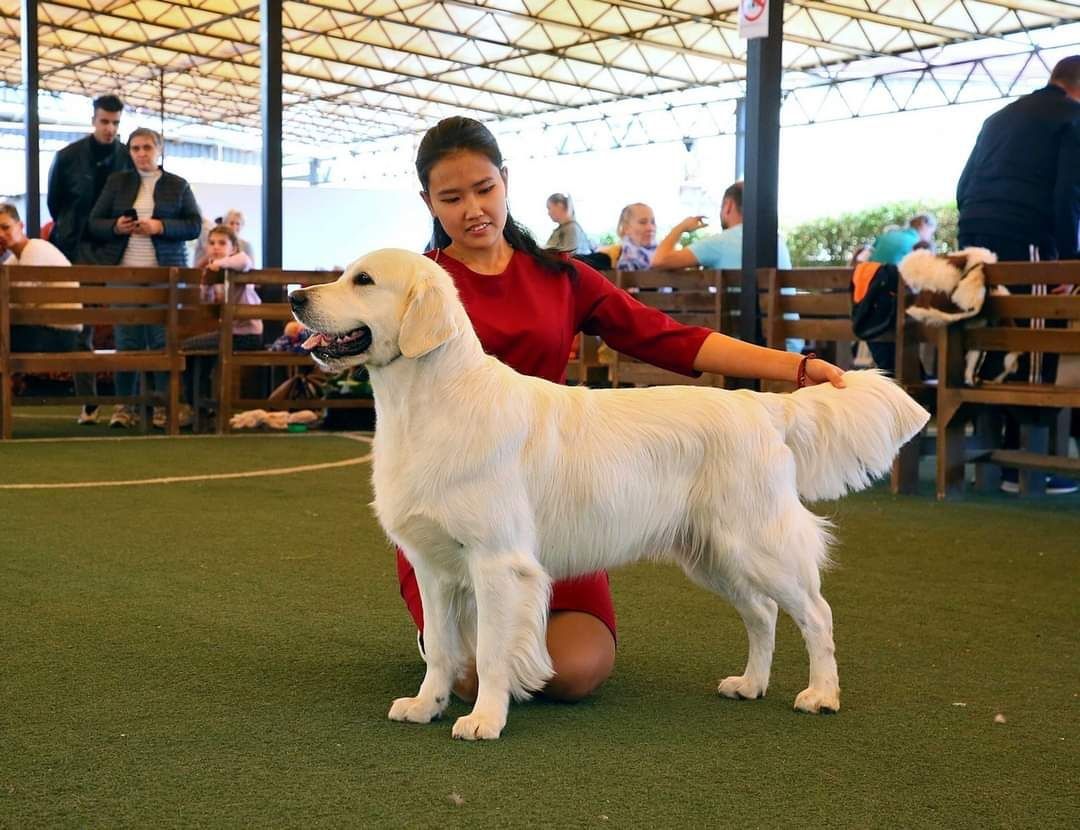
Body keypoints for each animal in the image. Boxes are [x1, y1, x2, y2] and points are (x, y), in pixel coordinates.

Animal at [291, 249, 933, 742]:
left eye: (363, 280)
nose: (296, 296)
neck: (427, 402)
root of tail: (764, 406)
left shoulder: (499, 563)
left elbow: (492, 651)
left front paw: (485, 720)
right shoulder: (435, 566)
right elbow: (447, 649)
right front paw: (427, 705)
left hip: (757, 544)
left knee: (815, 614)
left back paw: (821, 694)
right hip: (712, 554)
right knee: (763, 614)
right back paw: (749, 684)